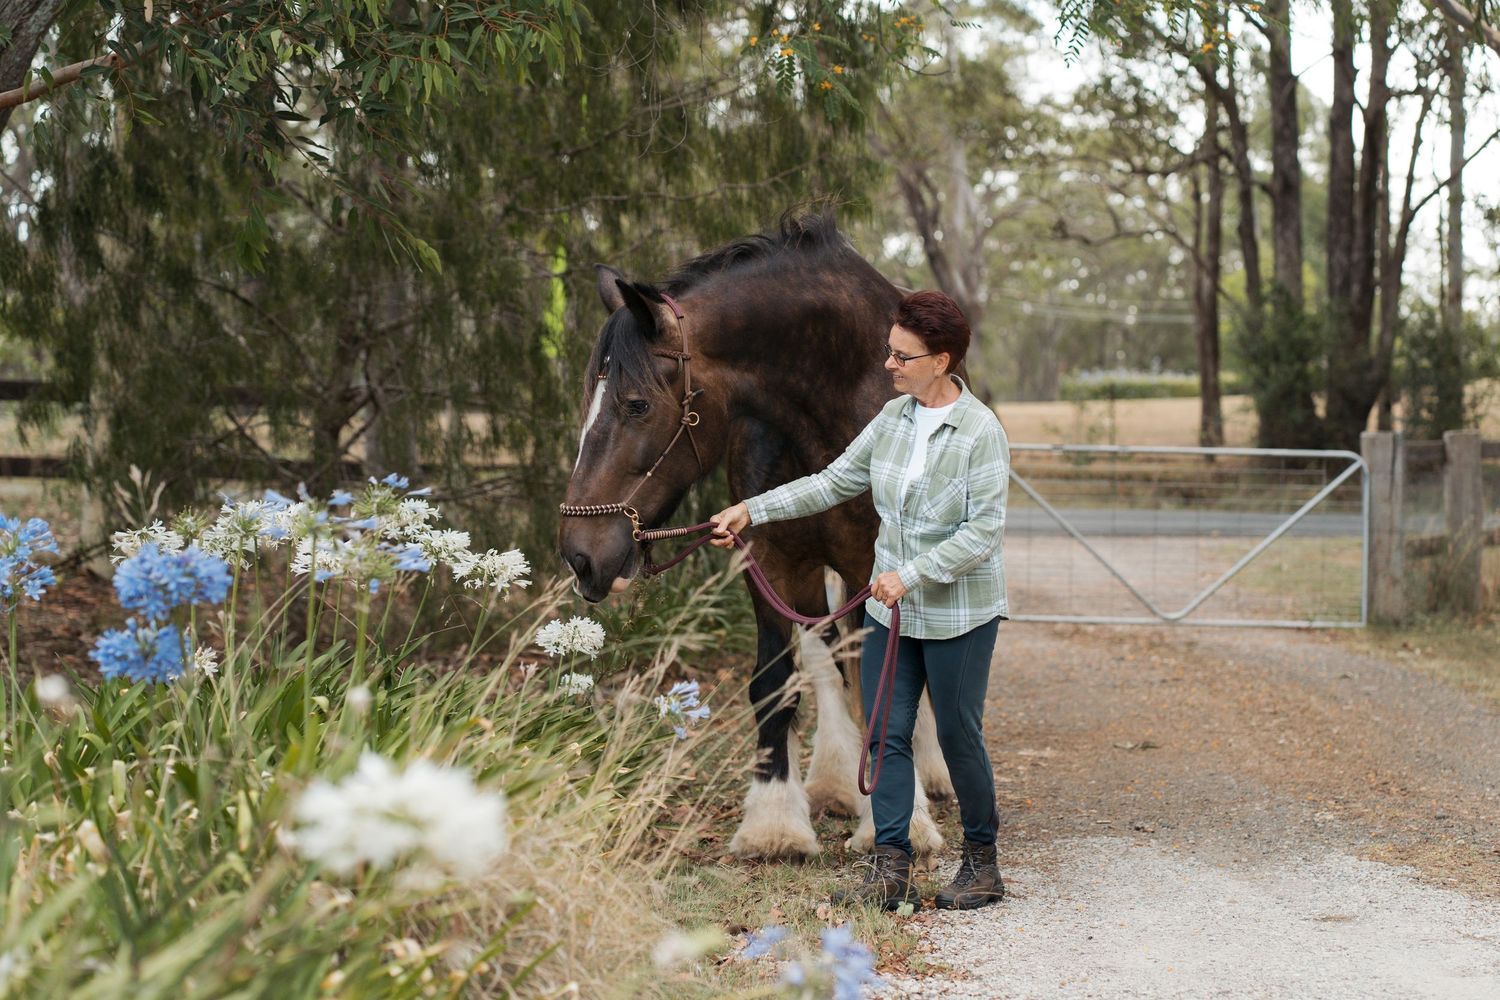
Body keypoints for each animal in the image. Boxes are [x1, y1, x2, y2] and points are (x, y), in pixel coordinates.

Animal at [559, 212, 953, 858]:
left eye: (636, 404)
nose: (580, 558)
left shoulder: (877, 570)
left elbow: (886, 681)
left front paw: (900, 819)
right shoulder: (768, 563)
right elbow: (775, 682)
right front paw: (776, 822)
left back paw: (930, 772)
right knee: (825, 658)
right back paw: (836, 778)